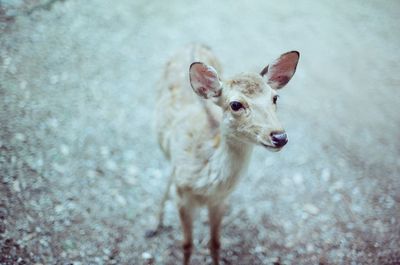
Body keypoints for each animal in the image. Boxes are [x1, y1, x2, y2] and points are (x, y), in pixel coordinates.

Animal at [150, 44, 300, 262]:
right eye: (235, 104)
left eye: (275, 97)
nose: (280, 137)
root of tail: (194, 42)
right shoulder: (182, 199)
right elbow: (186, 244)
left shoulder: (221, 201)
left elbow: (216, 243)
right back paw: (154, 224)